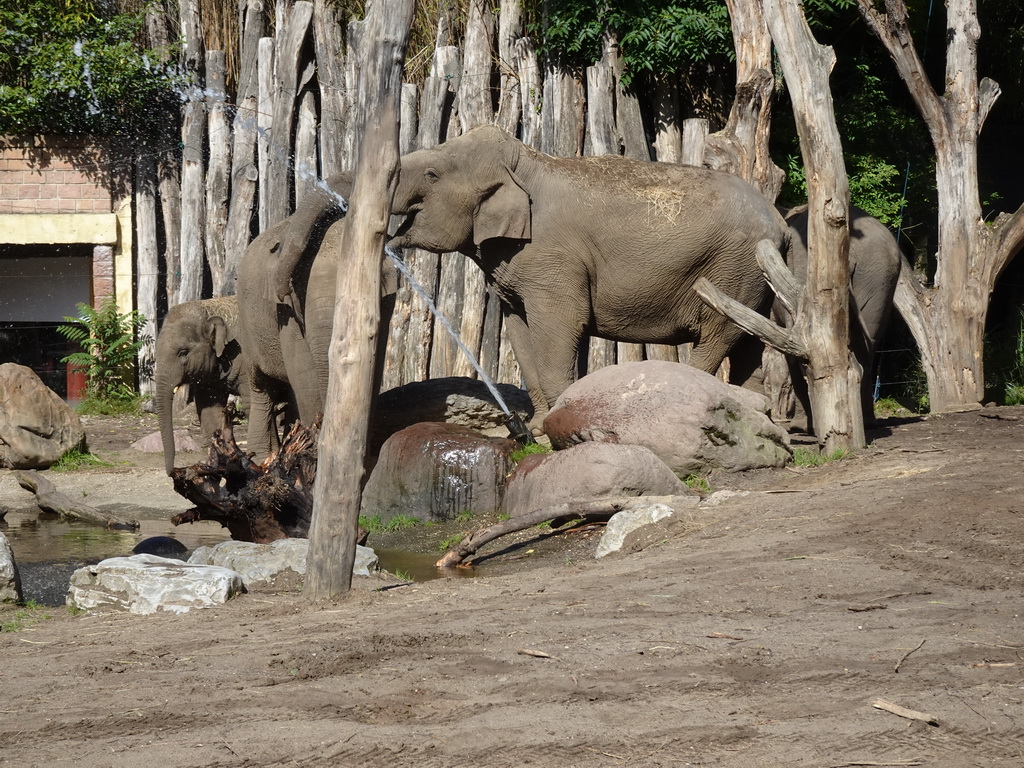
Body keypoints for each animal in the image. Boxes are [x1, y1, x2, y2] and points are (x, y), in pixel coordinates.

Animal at [387, 124, 786, 428]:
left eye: (432, 175)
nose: (389, 243)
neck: (526, 162)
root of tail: (780, 222)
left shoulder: (552, 256)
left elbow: (561, 325)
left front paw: (551, 429)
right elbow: (520, 332)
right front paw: (538, 427)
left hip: (733, 269)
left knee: (718, 336)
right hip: (751, 276)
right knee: (748, 343)